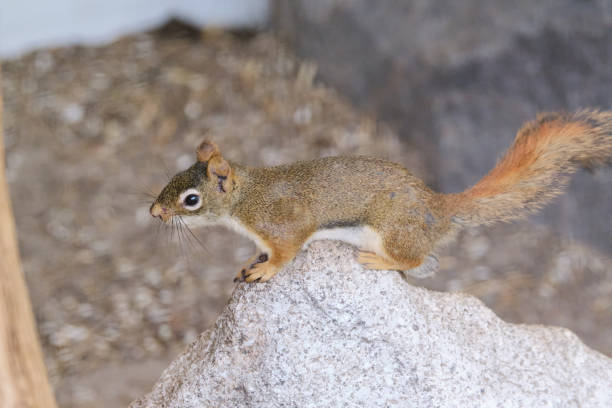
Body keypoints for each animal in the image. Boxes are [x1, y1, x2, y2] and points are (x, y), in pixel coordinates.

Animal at [151, 110, 612, 282]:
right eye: (170, 176)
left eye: (191, 199)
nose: (154, 211)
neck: (246, 199)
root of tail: (439, 207)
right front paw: (252, 260)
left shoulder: (285, 225)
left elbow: (286, 252)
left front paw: (266, 270)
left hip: (393, 231)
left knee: (414, 260)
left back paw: (379, 262)